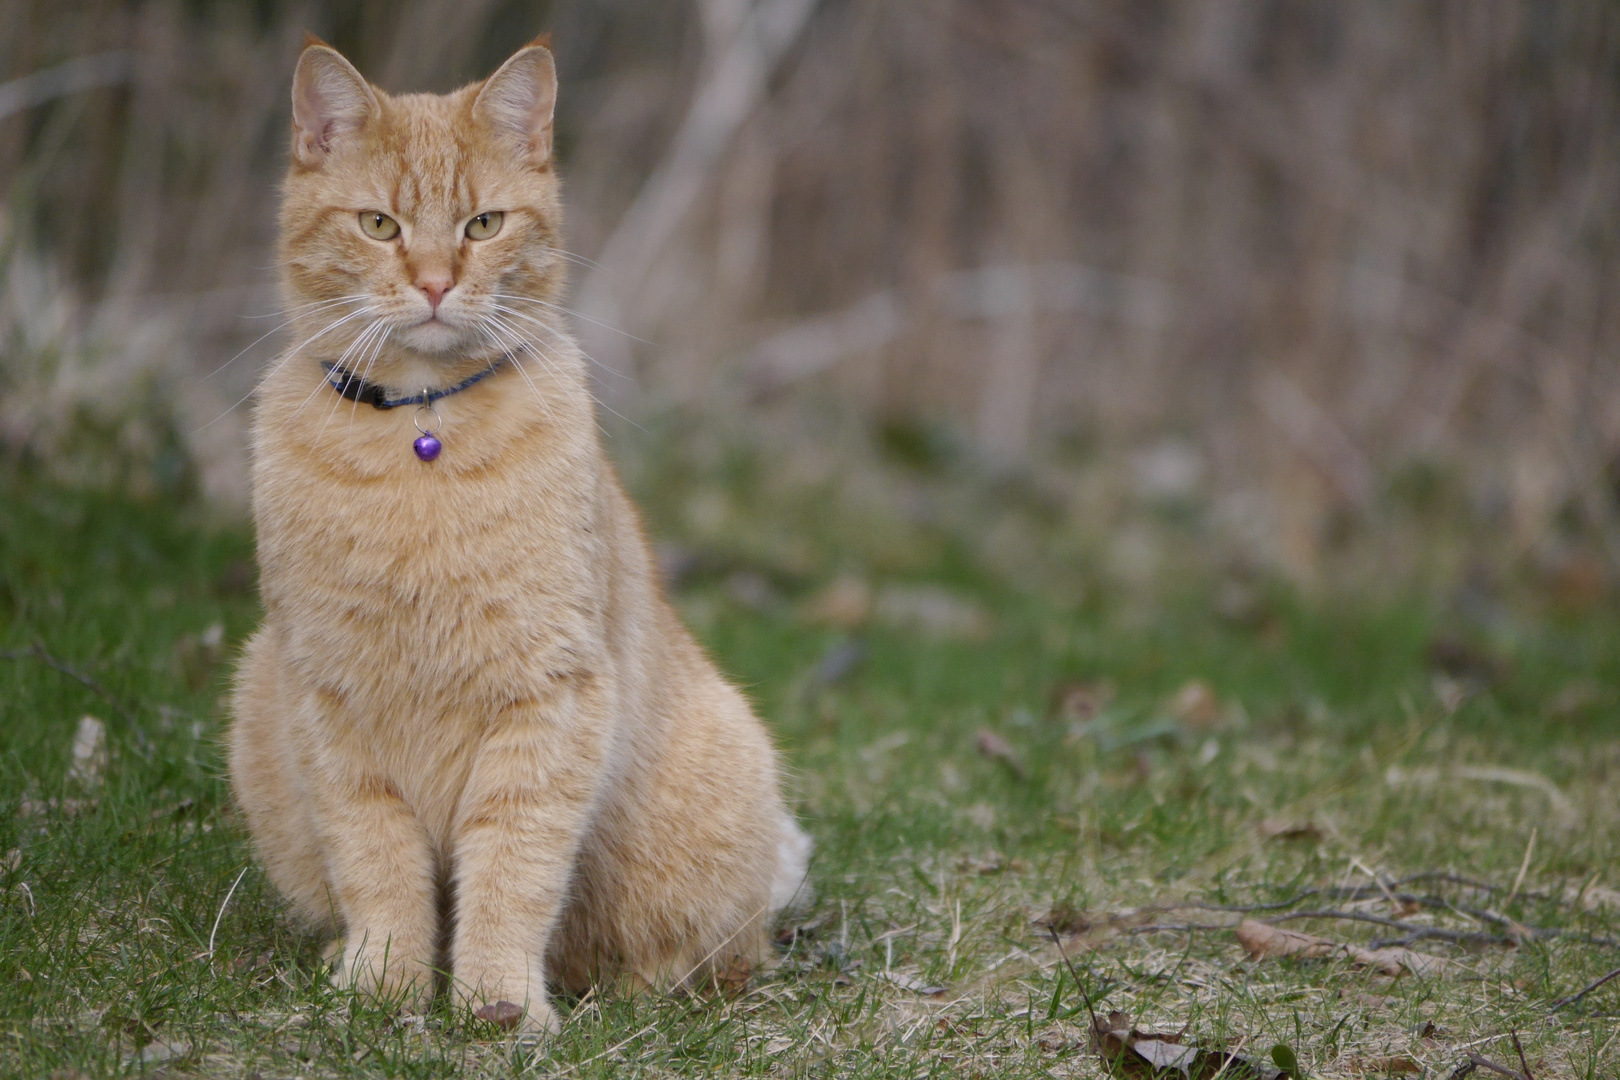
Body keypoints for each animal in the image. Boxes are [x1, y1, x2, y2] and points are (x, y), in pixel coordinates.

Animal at [228, 38, 810, 1036]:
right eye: (379, 225)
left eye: (483, 223)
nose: (433, 283)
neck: (421, 437)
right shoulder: (330, 704)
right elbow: (378, 864)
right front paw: (383, 984)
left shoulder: (547, 701)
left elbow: (512, 868)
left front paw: (496, 1004)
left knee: (708, 955)